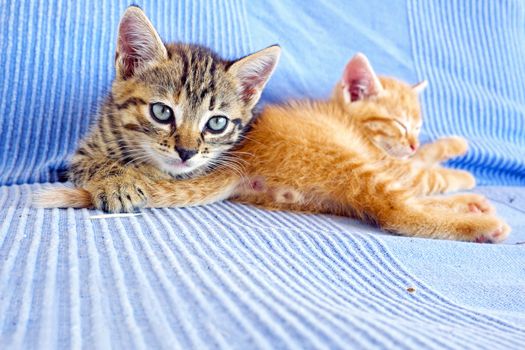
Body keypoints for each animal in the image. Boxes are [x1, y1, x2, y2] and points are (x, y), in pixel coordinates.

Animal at [35, 8, 508, 243]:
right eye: (162, 113)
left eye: (216, 122)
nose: (410, 141)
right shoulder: (387, 160)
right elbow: (426, 172)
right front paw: (459, 163)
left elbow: (423, 168)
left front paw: (447, 154)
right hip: (344, 160)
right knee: (396, 212)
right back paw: (482, 222)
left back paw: (472, 206)